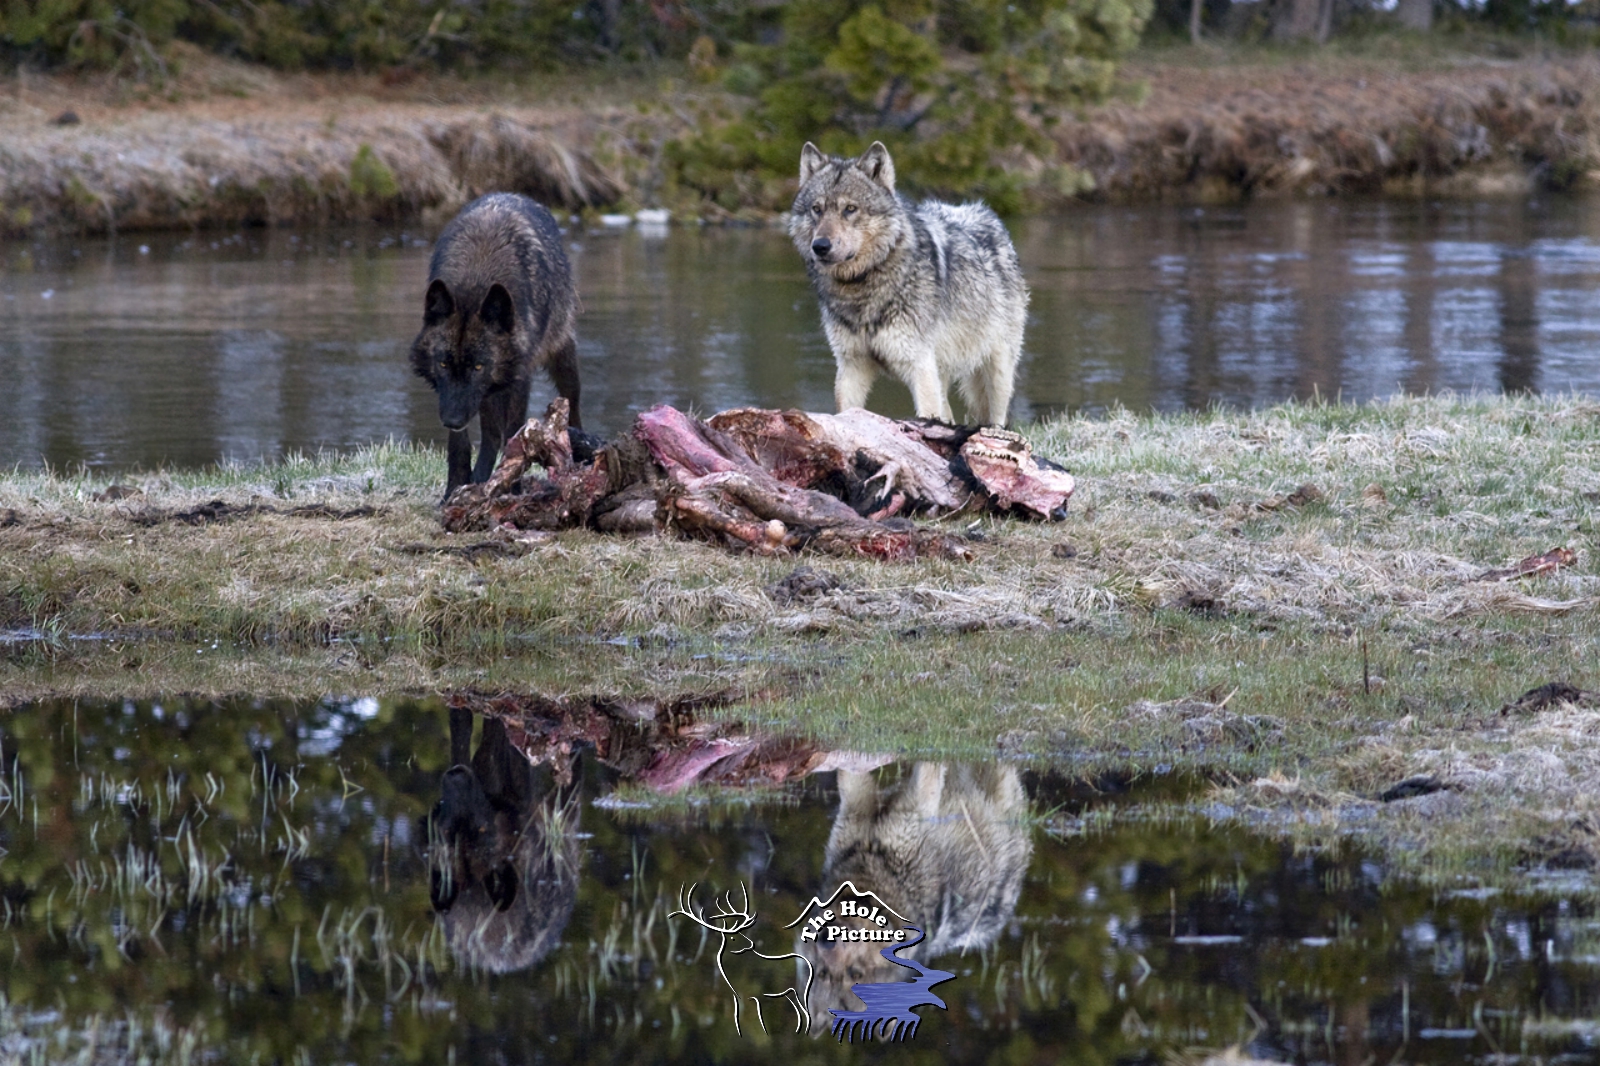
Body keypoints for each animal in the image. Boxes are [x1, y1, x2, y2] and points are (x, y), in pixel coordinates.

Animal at [410, 193, 581, 498]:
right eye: (443, 363)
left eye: (479, 366)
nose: (452, 420)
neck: (477, 278)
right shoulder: (453, 394)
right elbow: (460, 444)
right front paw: (455, 488)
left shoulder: (519, 379)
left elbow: (515, 432)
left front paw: (512, 486)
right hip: (487, 395)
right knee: (490, 436)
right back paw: (479, 479)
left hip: (562, 358)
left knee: (573, 406)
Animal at [790, 142, 1028, 428]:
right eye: (817, 209)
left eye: (850, 209)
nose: (820, 246)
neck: (863, 289)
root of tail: (985, 213)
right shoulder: (851, 367)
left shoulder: (919, 366)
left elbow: (927, 414)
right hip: (942, 372)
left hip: (997, 372)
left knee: (996, 416)